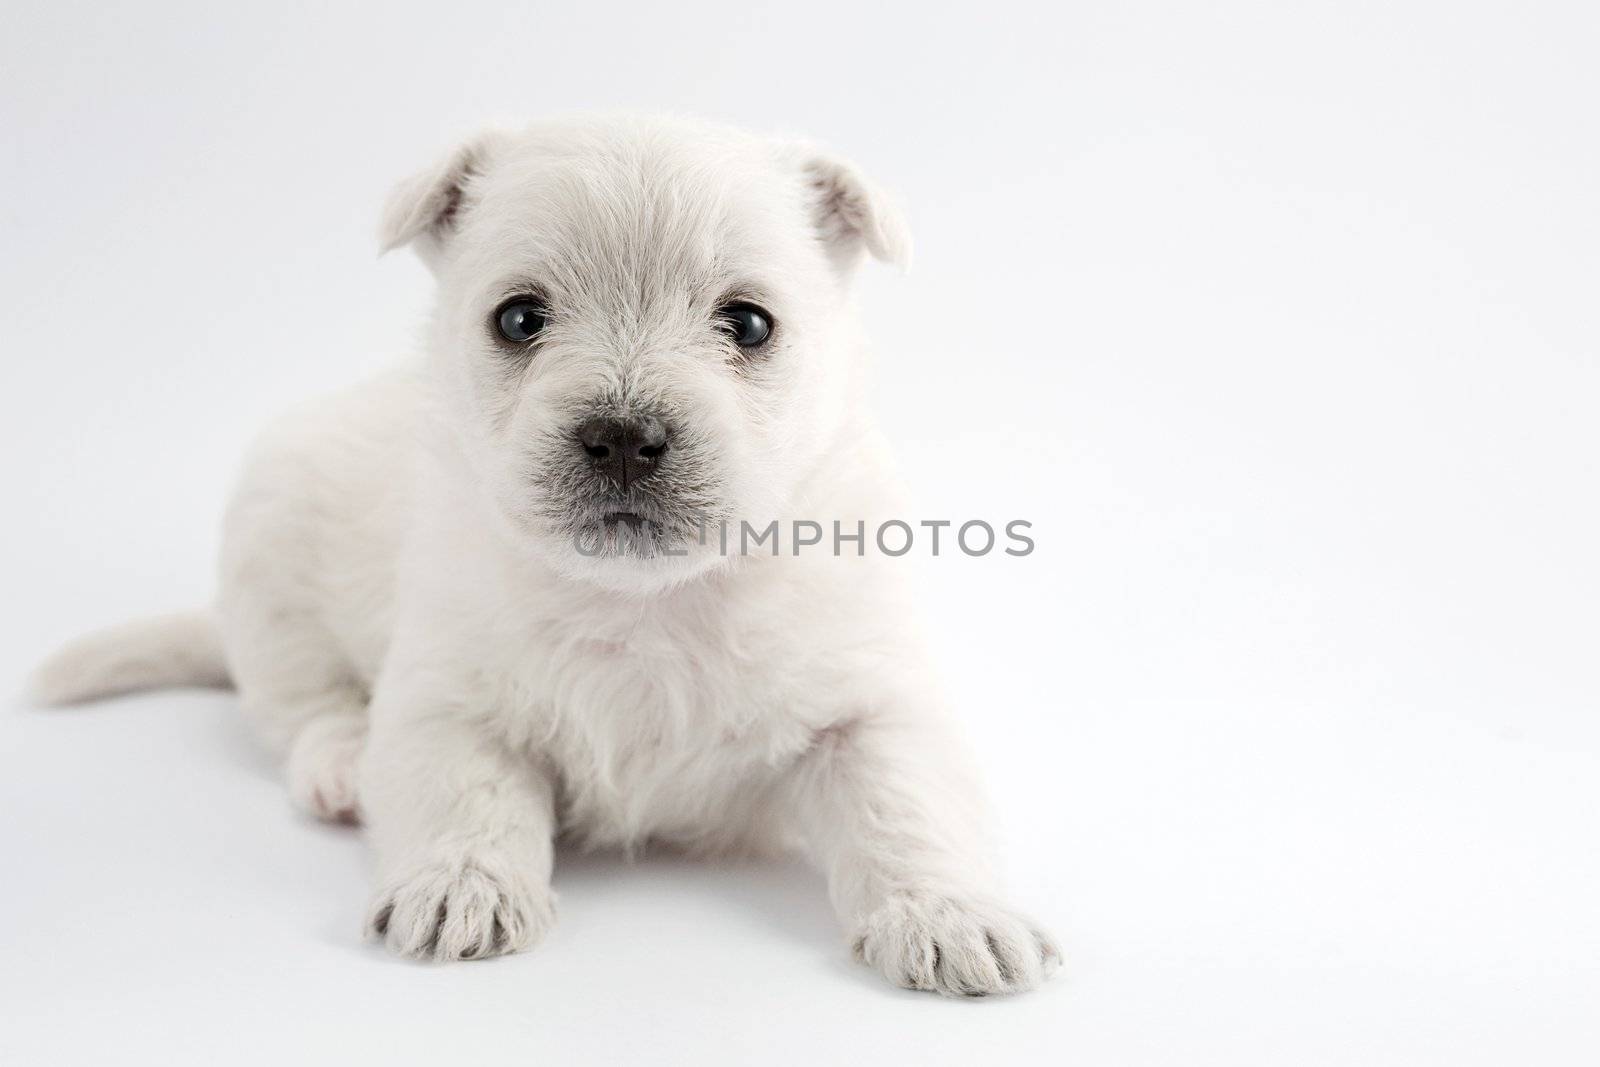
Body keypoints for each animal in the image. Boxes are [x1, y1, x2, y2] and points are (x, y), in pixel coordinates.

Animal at [31, 115, 1056, 991]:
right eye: (520, 319)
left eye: (750, 323)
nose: (625, 437)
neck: (647, 600)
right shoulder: (446, 694)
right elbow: (468, 792)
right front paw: (461, 885)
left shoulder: (868, 700)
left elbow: (905, 803)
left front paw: (952, 915)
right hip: (270, 544)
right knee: (297, 700)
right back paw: (341, 765)